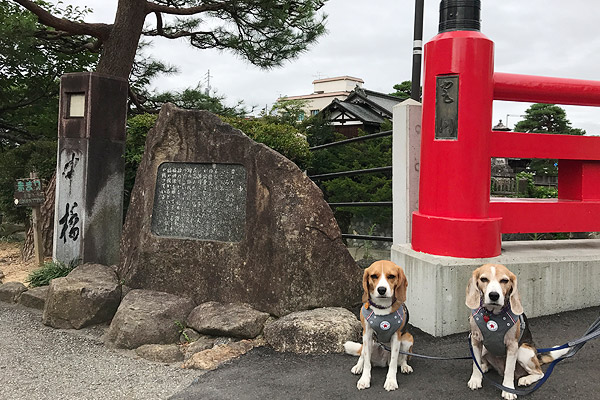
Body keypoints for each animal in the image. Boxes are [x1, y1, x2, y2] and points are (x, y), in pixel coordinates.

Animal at [342, 260, 412, 390]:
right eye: (374, 276)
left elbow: (394, 362)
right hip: (369, 343)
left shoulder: (397, 336)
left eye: (391, 276)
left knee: (402, 359)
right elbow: (367, 363)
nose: (382, 289)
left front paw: (391, 381)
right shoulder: (367, 334)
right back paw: (358, 366)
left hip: (408, 338)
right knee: (362, 356)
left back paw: (405, 366)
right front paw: (364, 379)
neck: (382, 307)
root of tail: (382, 361)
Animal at [468, 264, 568, 398]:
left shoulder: (513, 346)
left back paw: (526, 379)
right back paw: (484, 367)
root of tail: (537, 355)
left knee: (540, 373)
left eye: (504, 280)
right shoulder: (475, 340)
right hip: (485, 348)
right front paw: (476, 379)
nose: (494, 295)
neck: (492, 315)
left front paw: (508, 390)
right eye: (484, 279)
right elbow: (476, 363)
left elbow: (509, 370)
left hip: (523, 350)